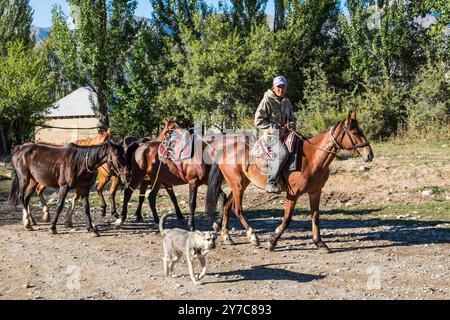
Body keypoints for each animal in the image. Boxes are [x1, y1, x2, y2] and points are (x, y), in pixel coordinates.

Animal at [206, 111, 374, 251]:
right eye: (355, 132)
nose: (369, 155)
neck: (312, 159)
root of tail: (225, 149)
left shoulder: (315, 192)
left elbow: (315, 217)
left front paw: (320, 243)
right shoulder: (293, 194)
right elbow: (287, 218)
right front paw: (272, 241)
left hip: (240, 184)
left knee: (227, 206)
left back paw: (227, 237)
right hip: (238, 185)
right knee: (237, 209)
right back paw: (253, 237)